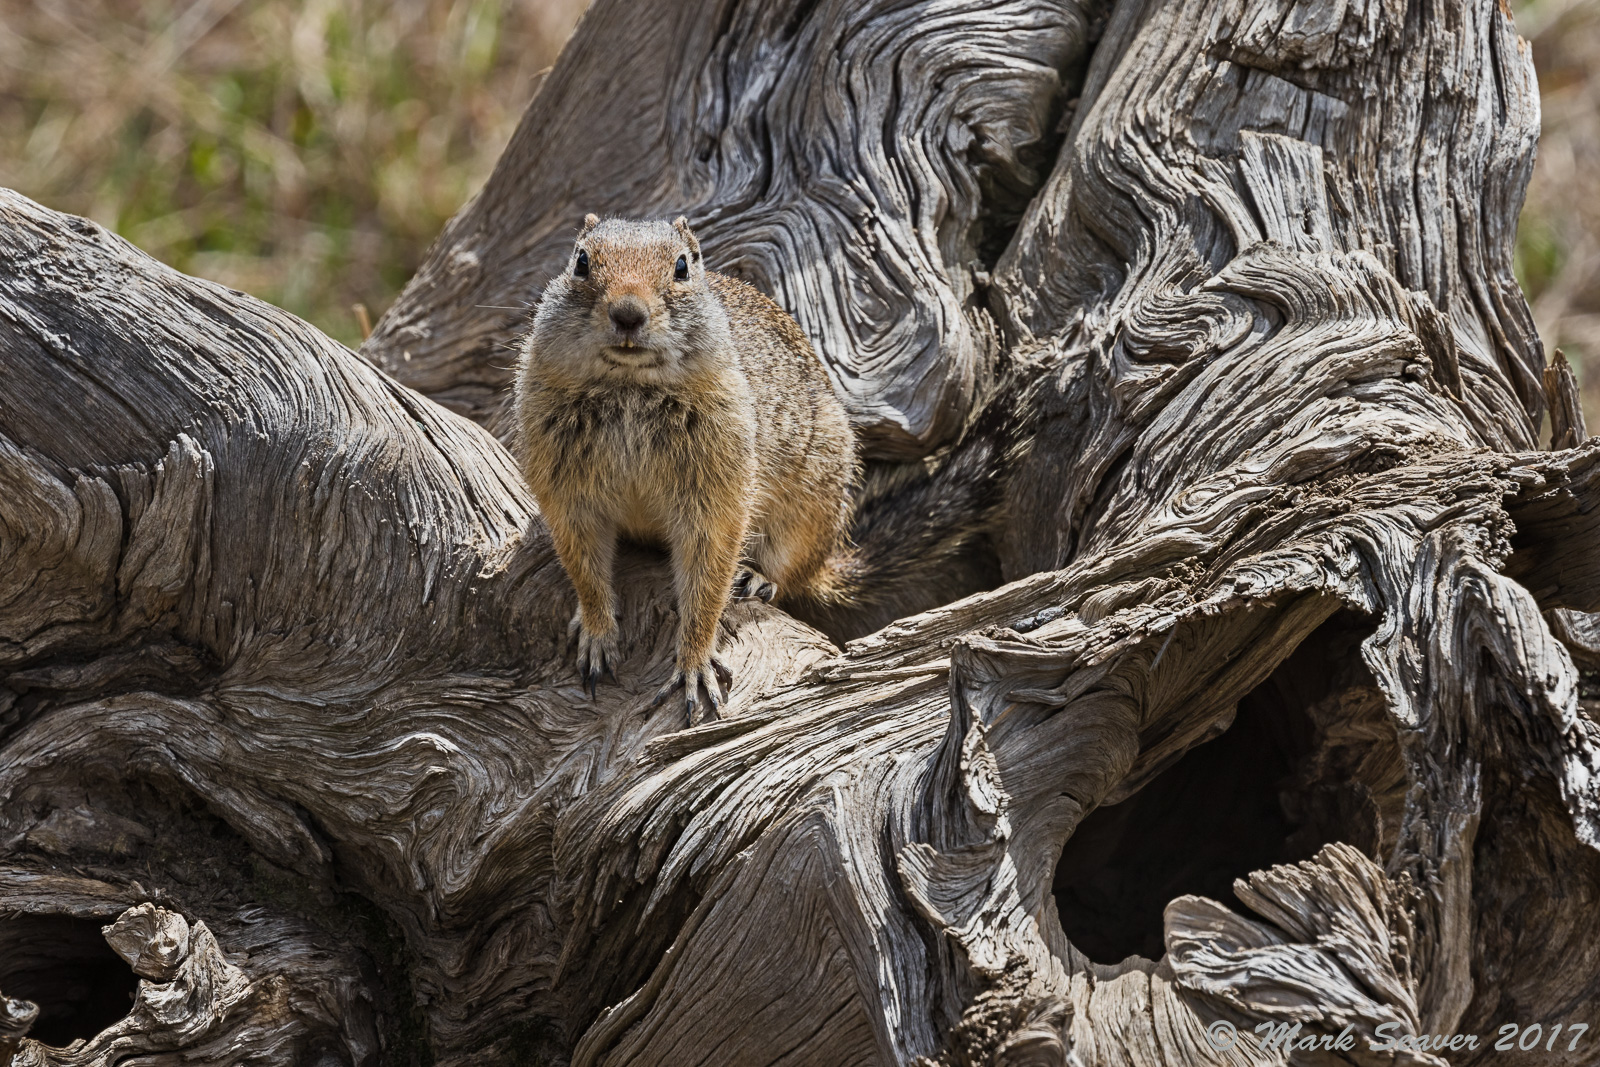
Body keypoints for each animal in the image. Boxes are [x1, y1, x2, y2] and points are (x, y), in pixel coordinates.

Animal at [514, 214, 859, 723]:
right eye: (580, 262)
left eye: (682, 266)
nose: (628, 313)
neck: (629, 388)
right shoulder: (566, 490)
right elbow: (584, 567)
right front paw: (596, 633)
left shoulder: (716, 486)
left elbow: (707, 578)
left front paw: (694, 664)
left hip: (810, 508)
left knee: (794, 573)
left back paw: (757, 578)